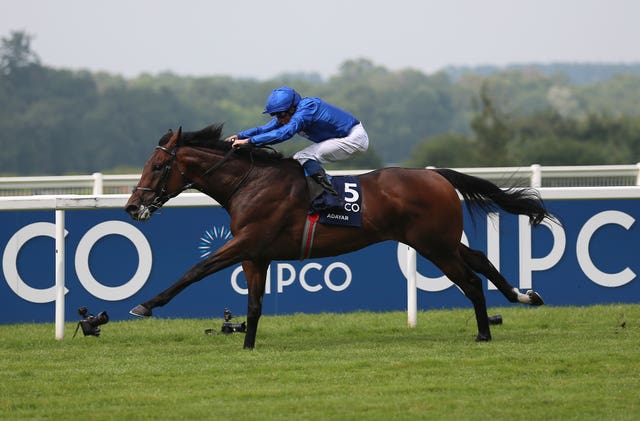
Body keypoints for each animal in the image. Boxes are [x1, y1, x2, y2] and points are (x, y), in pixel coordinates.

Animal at [126, 124, 556, 348]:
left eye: (159, 165)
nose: (132, 206)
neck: (249, 182)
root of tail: (437, 176)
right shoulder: (256, 254)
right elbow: (254, 304)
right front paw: (247, 346)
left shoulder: (246, 242)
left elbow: (196, 270)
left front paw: (146, 305)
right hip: (440, 241)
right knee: (480, 259)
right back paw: (524, 296)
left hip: (434, 245)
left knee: (470, 281)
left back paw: (484, 332)